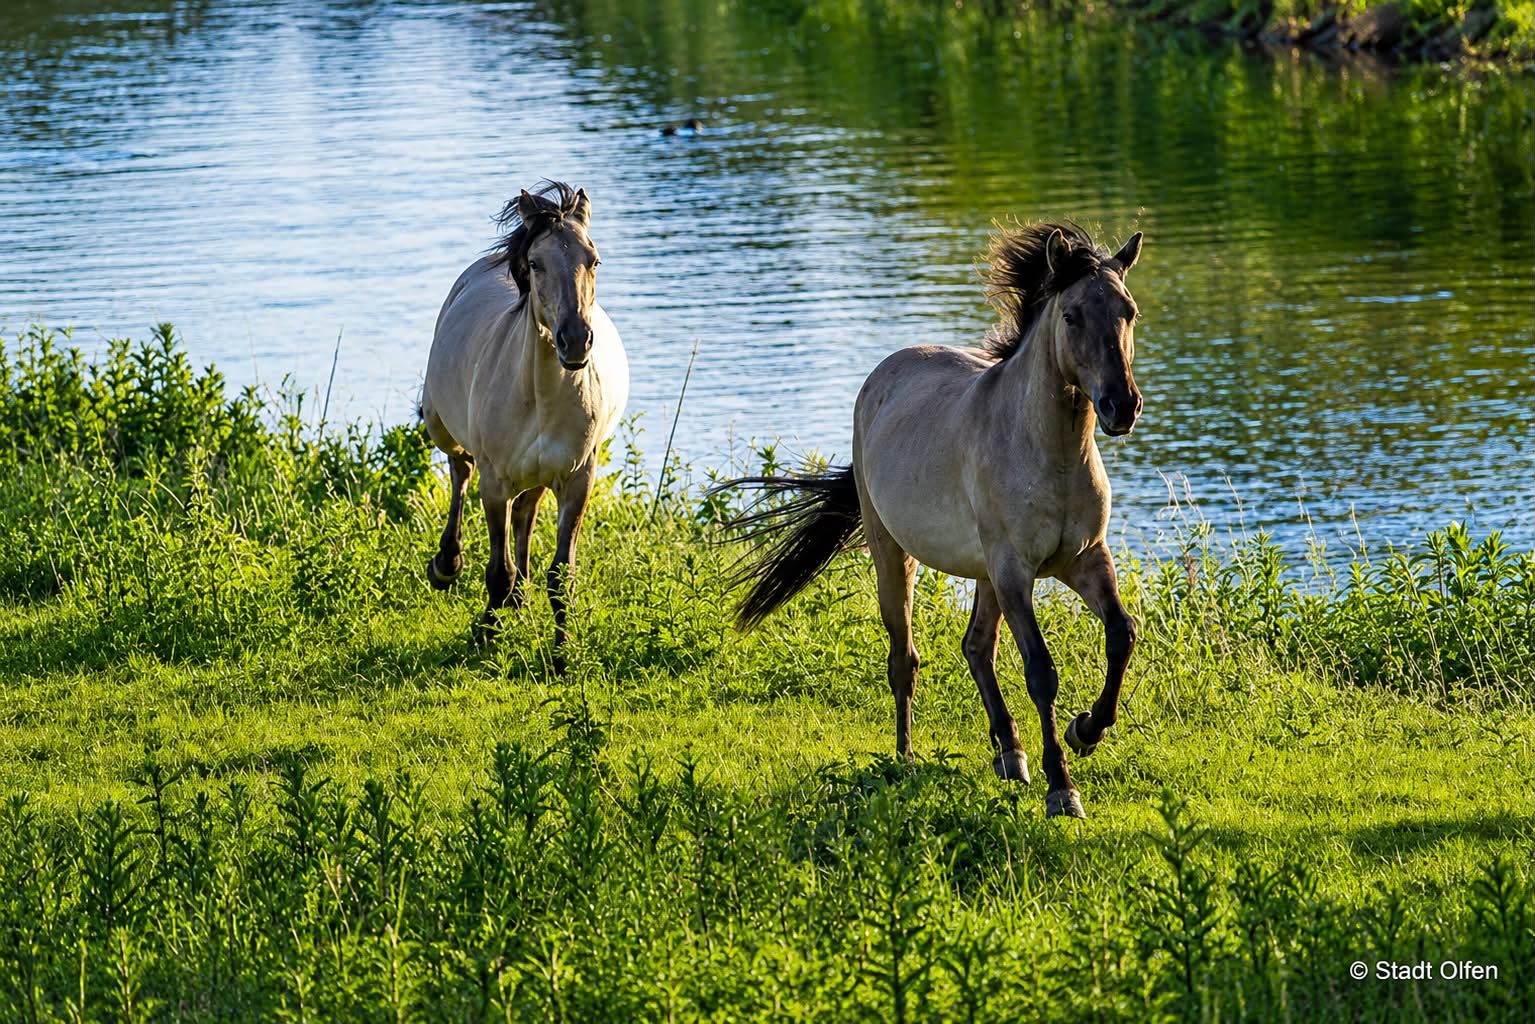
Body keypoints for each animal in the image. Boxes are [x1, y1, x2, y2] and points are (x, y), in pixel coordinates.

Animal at [419, 181, 629, 668]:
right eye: (535, 263)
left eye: (594, 259)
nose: (576, 340)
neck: (541, 399)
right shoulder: (495, 483)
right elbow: (497, 569)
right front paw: (486, 637)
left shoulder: (577, 480)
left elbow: (561, 575)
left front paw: (563, 655)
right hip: (440, 426)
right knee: (460, 468)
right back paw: (447, 565)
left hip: (536, 476)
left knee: (526, 511)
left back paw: (518, 598)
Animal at [717, 222, 1144, 819]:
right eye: (1071, 315)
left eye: (1129, 311)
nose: (1120, 407)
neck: (1051, 452)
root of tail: (882, 378)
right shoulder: (1016, 571)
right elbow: (1041, 671)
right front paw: (1063, 789)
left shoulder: (1083, 559)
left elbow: (1121, 635)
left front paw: (1086, 731)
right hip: (897, 556)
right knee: (905, 658)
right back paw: (906, 758)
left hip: (986, 574)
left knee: (976, 648)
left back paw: (1010, 756)